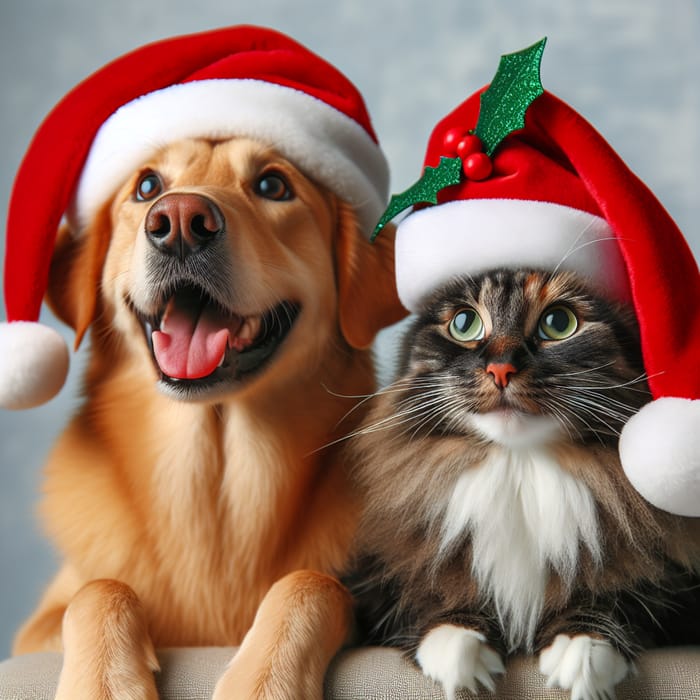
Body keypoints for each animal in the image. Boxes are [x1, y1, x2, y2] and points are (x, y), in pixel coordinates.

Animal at [10, 134, 402, 696]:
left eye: (273, 185)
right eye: (147, 186)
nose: (178, 220)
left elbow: (312, 583)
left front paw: (263, 681)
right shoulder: (34, 630)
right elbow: (98, 589)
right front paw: (103, 683)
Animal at [348, 268, 700, 700]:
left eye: (559, 322)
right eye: (463, 324)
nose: (501, 368)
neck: (519, 471)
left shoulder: (677, 585)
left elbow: (622, 594)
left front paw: (582, 648)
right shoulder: (375, 579)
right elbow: (427, 595)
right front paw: (458, 646)